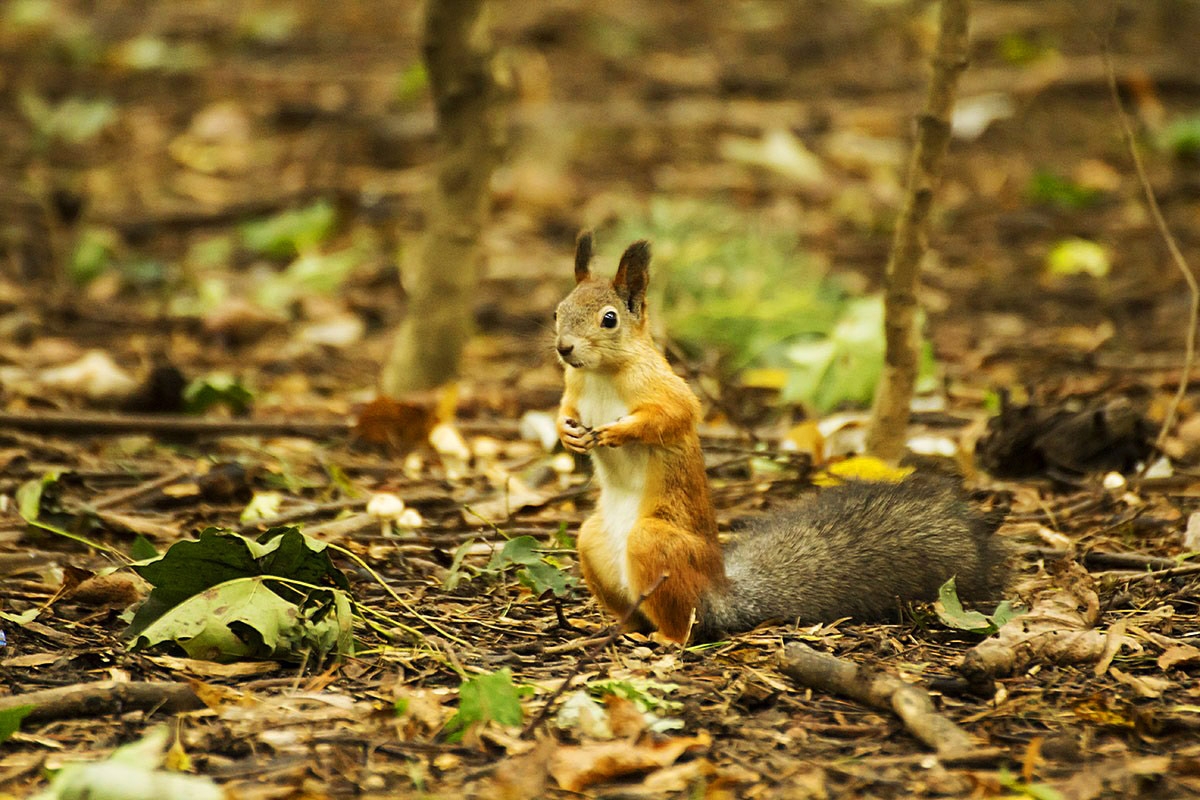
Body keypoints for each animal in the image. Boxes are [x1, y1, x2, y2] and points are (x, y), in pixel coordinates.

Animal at [556, 231, 1008, 642]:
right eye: (558, 311)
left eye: (609, 319)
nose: (563, 348)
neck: (600, 374)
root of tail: (720, 596)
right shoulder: (573, 388)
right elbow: (565, 408)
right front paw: (567, 432)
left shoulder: (665, 388)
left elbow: (673, 414)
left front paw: (617, 431)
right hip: (592, 542)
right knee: (634, 609)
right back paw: (613, 629)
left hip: (656, 544)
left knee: (687, 625)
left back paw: (665, 639)